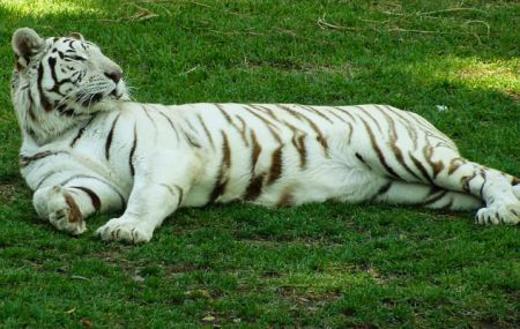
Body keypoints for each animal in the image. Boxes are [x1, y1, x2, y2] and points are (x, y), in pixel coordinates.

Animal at [10, 28, 520, 242]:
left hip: (404, 152)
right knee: (473, 186)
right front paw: (64, 214)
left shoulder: (162, 158)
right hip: (417, 188)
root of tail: (419, 116)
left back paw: (502, 212)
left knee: (493, 175)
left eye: (102, 55)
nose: (117, 74)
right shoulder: (88, 179)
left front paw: (126, 229)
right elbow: (48, 194)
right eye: (78, 57)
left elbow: (145, 196)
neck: (58, 127)